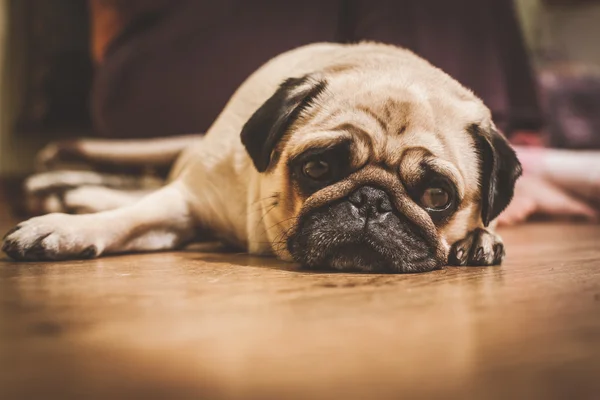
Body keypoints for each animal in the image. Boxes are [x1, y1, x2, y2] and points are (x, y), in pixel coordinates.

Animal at [1, 42, 520, 272]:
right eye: (316, 168)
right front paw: (66, 229)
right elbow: (131, 217)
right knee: (137, 189)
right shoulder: (188, 203)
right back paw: (62, 191)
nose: (371, 201)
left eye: (437, 196)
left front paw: (478, 238)